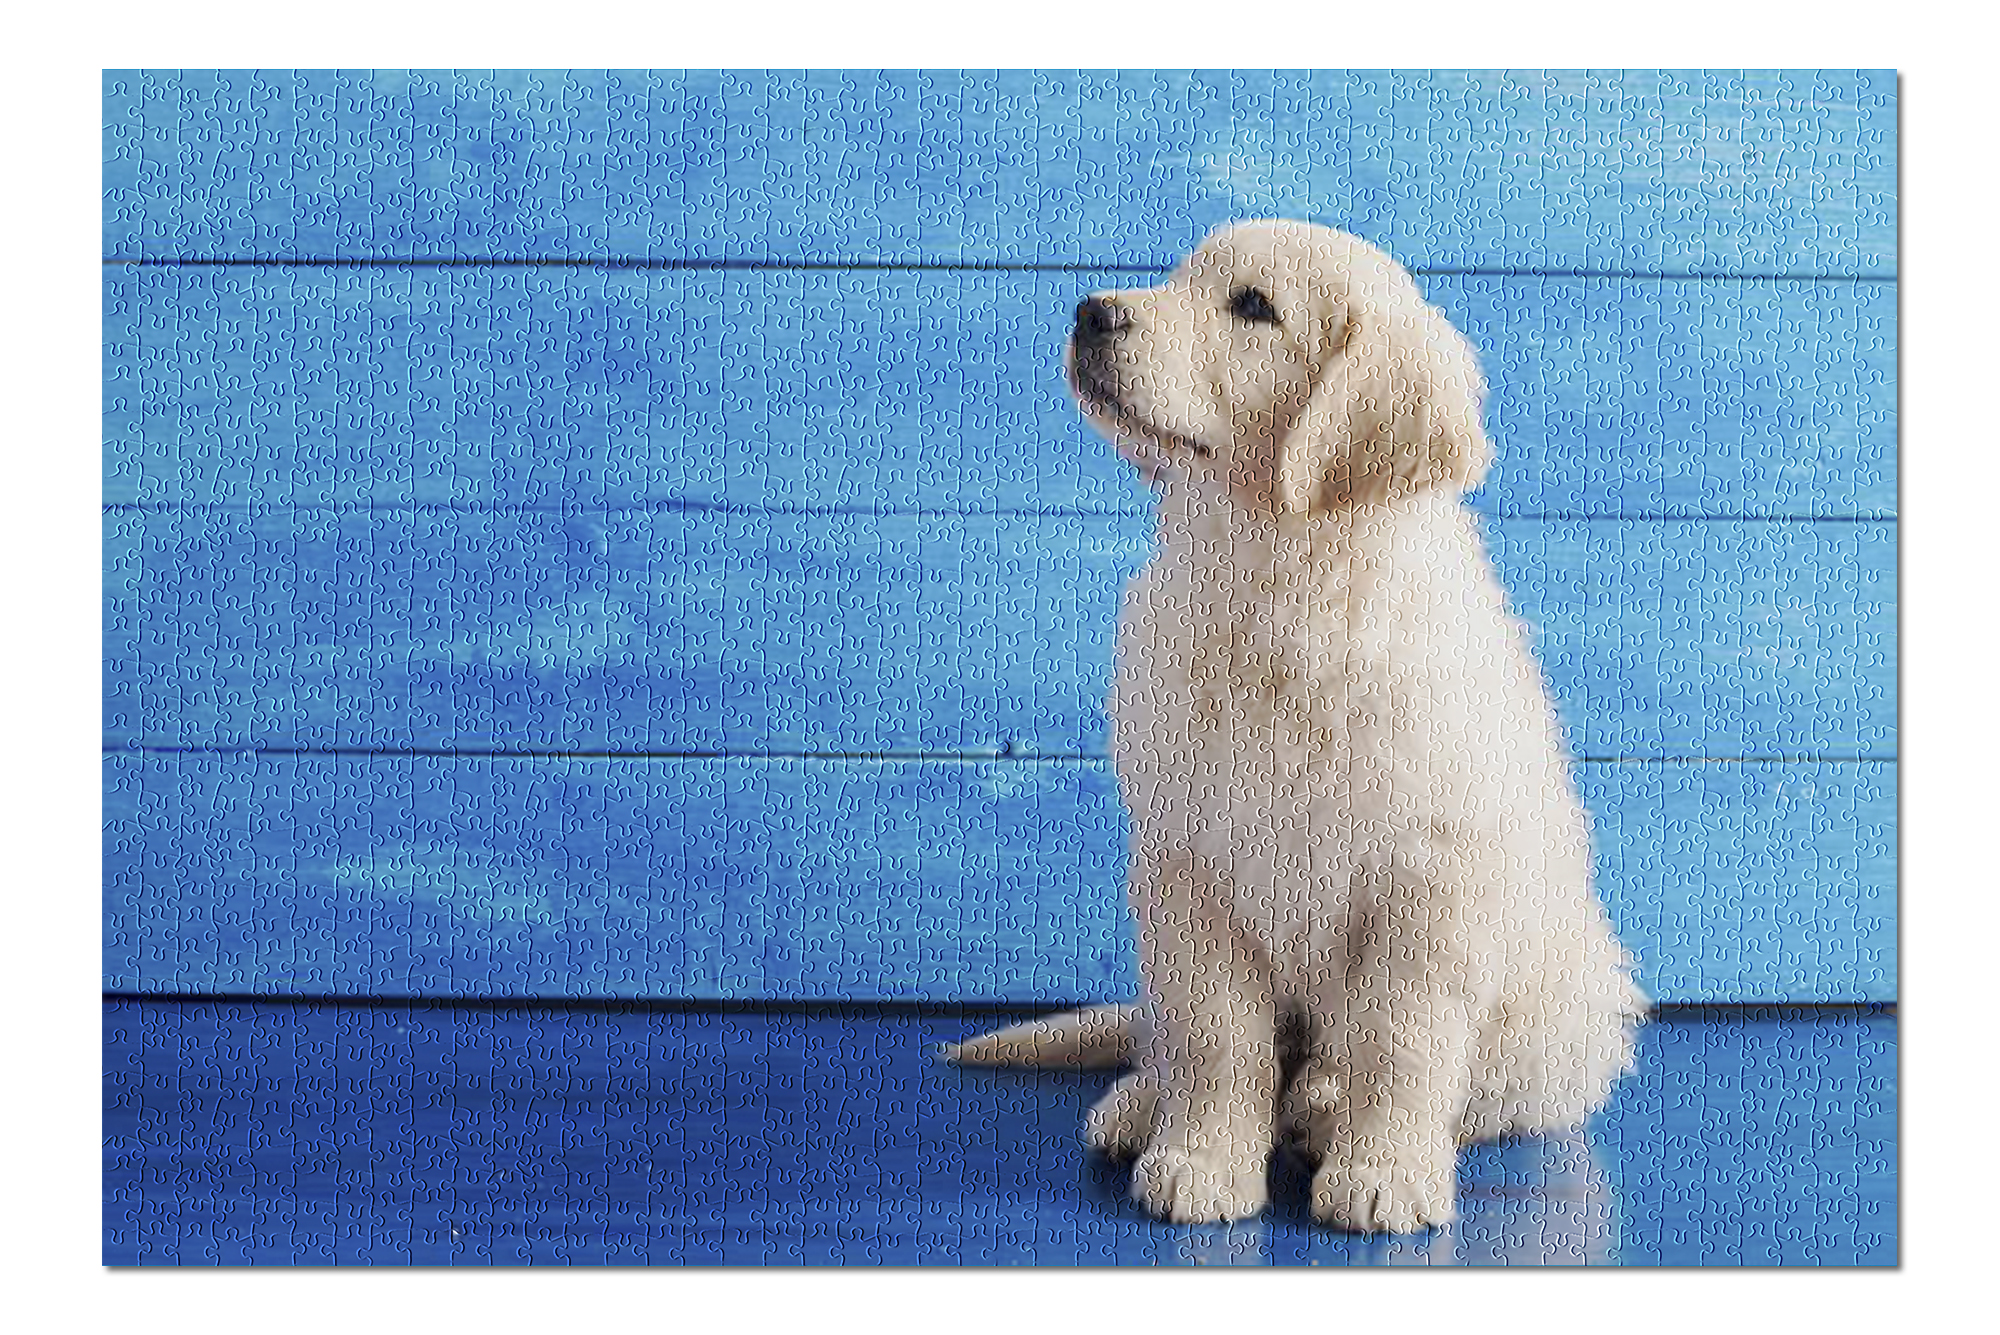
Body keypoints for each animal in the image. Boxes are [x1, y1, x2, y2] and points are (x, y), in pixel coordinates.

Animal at [948, 218, 1640, 1231]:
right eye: (1179, 276)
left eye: (1252, 307)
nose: (1090, 313)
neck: (1277, 573)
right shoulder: (1189, 866)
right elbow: (1214, 1034)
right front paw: (1201, 1154)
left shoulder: (1431, 883)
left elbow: (1401, 1040)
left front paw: (1384, 1168)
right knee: (1179, 1039)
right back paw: (1144, 1104)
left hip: (1562, 1021)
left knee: (1467, 1084)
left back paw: (1320, 1110)